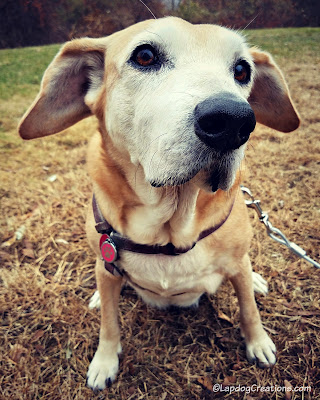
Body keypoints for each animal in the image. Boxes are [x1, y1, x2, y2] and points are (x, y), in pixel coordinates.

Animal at [19, 17, 300, 390]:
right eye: (146, 55)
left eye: (242, 70)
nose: (232, 120)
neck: (170, 224)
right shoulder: (106, 262)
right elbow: (109, 323)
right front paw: (104, 361)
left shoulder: (236, 266)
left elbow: (248, 309)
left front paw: (258, 343)